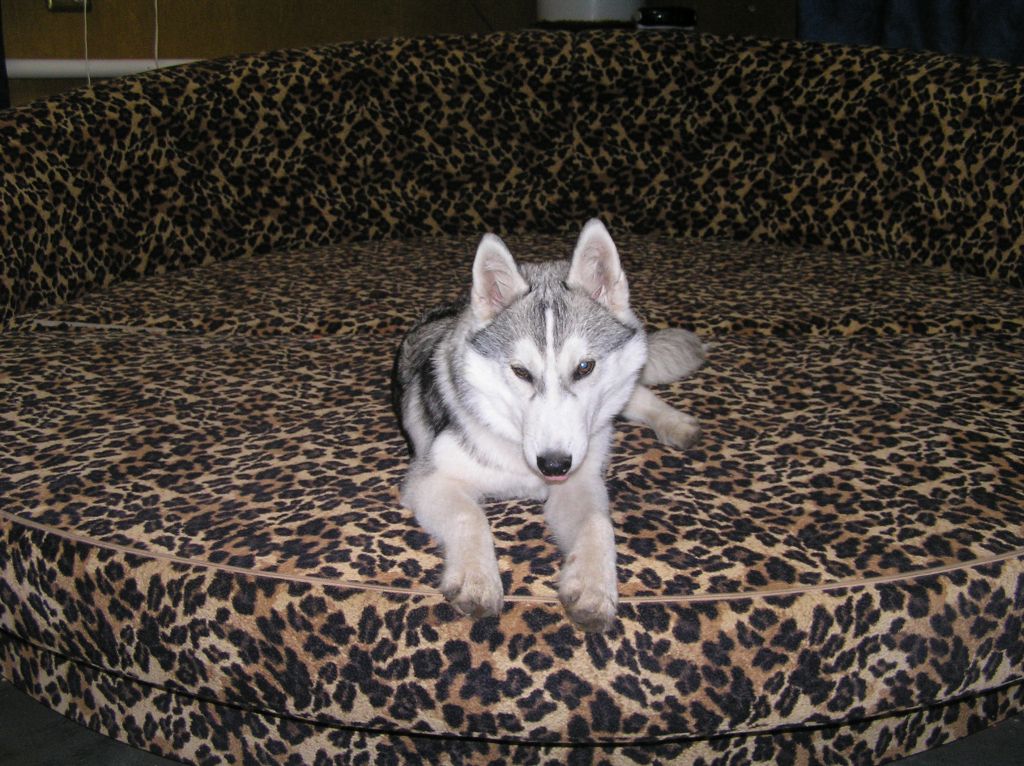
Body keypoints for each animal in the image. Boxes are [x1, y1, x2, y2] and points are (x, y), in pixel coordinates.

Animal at [392, 219, 704, 632]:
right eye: (521, 372)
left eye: (584, 367)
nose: (554, 464)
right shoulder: (428, 479)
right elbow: (470, 515)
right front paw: (477, 578)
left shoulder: (579, 481)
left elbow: (597, 524)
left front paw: (593, 586)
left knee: (636, 393)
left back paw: (675, 422)